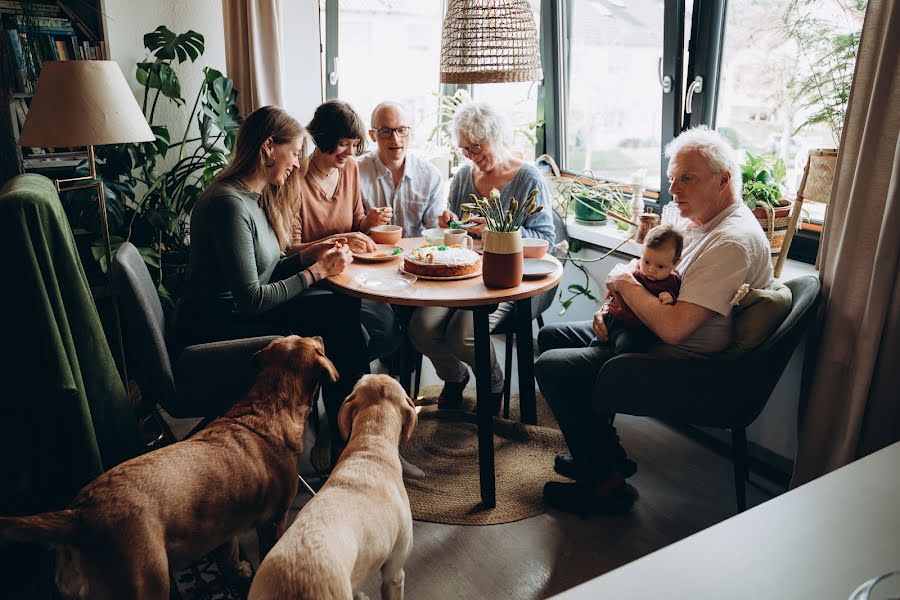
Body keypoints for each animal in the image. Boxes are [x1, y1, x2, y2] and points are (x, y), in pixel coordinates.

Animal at [0, 336, 338, 596]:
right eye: (315, 343)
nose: (321, 336)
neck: (267, 408)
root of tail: (78, 517)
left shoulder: (225, 520)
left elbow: (229, 552)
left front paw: (237, 571)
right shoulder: (273, 521)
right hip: (146, 584)